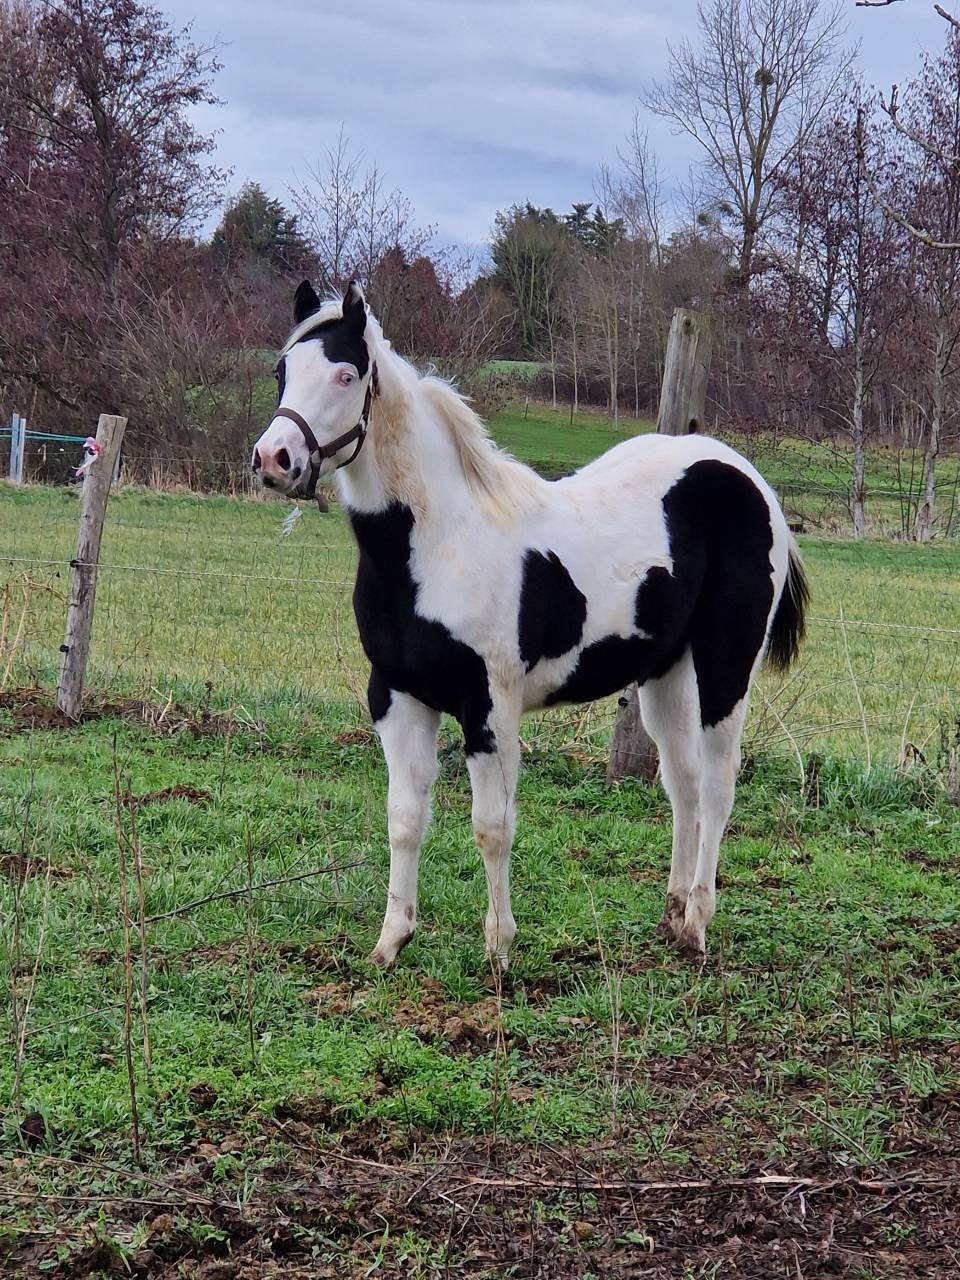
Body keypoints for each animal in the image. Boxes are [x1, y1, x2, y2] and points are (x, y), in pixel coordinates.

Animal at [252, 280, 808, 968]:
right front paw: (390, 943)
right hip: (665, 671)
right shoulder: (397, 697)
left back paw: (699, 925)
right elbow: (404, 819)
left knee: (716, 784)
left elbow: (492, 828)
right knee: (681, 782)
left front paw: (499, 952)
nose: (274, 459)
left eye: (346, 374)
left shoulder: (488, 706)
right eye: (282, 371)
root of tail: (750, 480)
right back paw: (674, 919)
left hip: (726, 666)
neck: (440, 542)